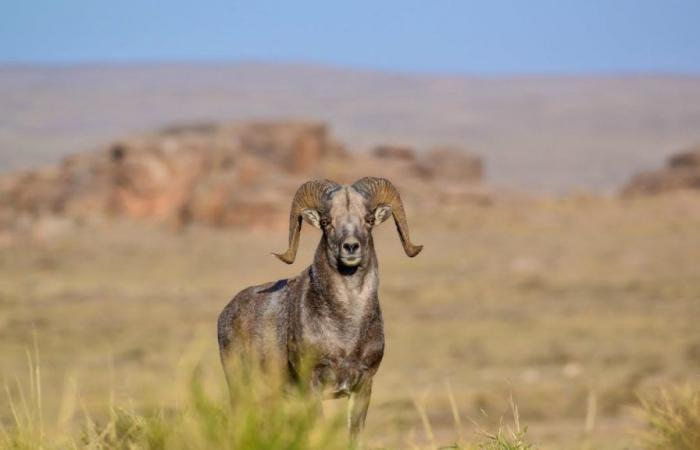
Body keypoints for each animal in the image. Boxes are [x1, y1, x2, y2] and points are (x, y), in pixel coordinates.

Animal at [216, 178, 422, 442]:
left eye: (368, 219)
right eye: (326, 222)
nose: (350, 247)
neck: (347, 331)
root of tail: (226, 313)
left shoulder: (363, 385)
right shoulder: (313, 384)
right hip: (241, 388)